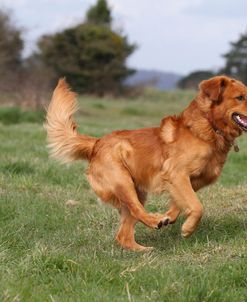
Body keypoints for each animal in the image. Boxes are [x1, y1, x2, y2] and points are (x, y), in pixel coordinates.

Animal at [45, 75, 247, 250]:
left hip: (136, 191)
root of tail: (96, 143)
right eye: (240, 97)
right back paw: (154, 221)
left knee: (123, 235)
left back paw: (143, 249)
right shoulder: (176, 173)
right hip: (123, 182)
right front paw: (187, 228)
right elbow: (197, 206)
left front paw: (170, 217)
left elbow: (181, 202)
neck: (209, 127)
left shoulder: (194, 180)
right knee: (136, 210)